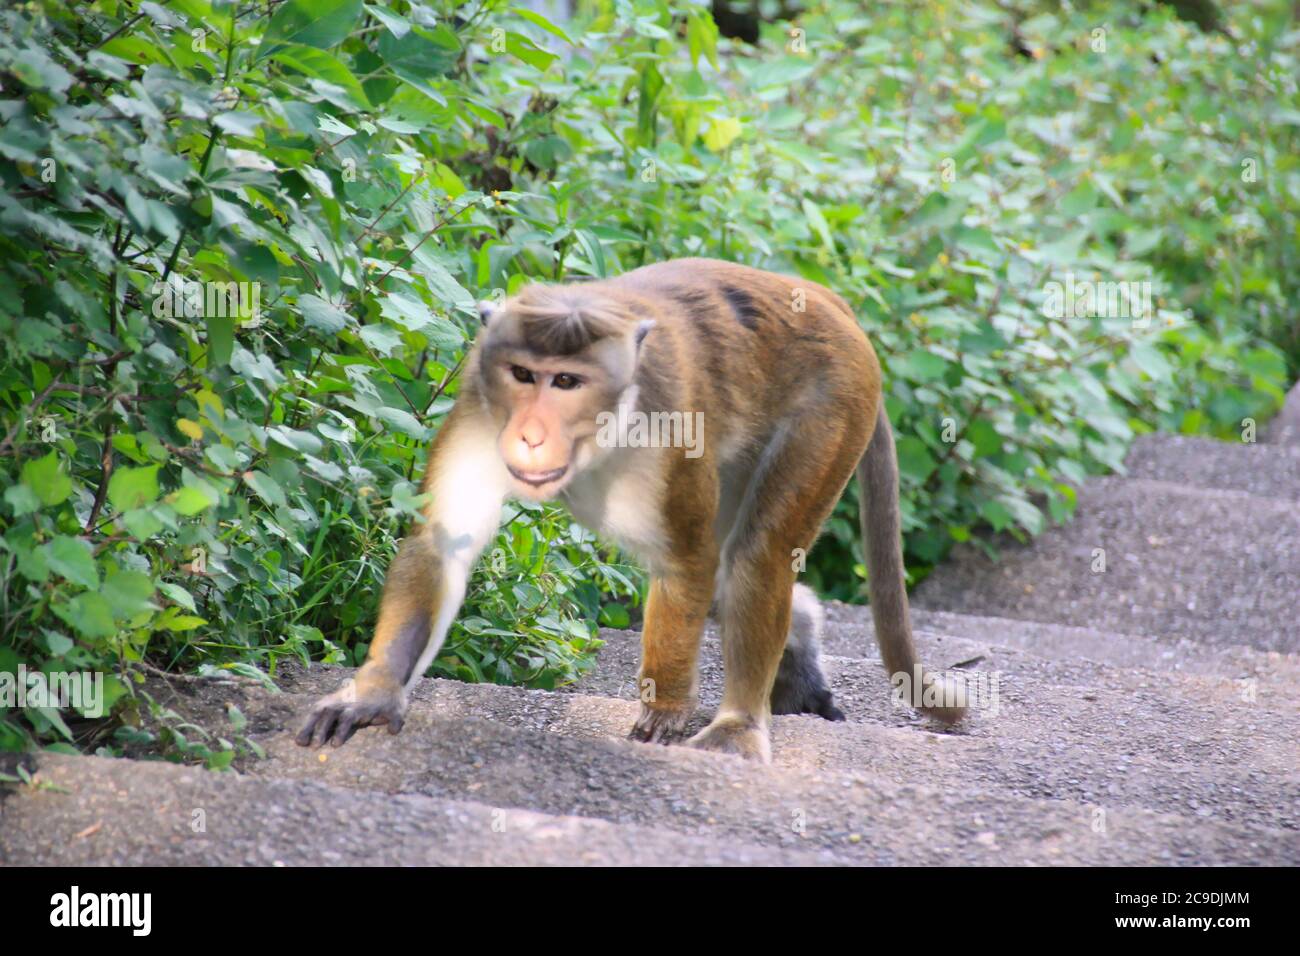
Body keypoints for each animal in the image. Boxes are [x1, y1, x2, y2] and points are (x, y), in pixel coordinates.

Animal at [295, 257, 967, 764]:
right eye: (522, 374)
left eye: (567, 381)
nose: (530, 435)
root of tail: (829, 300)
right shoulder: (479, 408)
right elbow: (442, 542)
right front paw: (373, 694)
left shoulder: (671, 429)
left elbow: (687, 560)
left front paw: (665, 708)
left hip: (835, 404)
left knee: (756, 554)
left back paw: (739, 724)